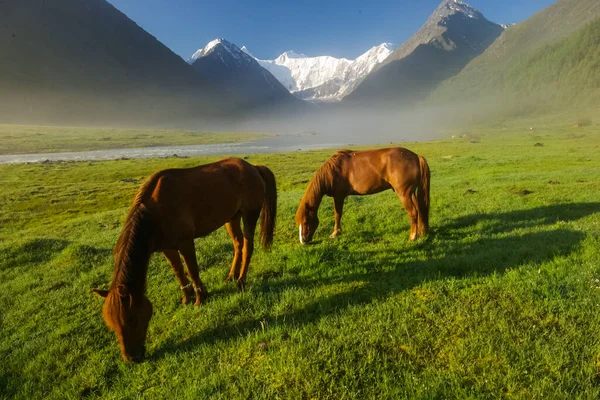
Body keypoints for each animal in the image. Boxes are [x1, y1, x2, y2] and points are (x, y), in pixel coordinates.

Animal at [91, 159, 276, 362]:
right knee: (238, 244)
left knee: (247, 246)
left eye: (131, 319)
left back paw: (241, 281)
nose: (132, 358)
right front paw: (187, 297)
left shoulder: (186, 242)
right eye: (111, 323)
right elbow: (179, 271)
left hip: (249, 214)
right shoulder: (167, 248)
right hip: (232, 217)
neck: (155, 211)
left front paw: (200, 298)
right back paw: (231, 276)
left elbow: (192, 270)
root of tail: (253, 167)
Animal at [296, 148, 428, 244]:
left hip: (404, 194)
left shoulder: (338, 196)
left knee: (413, 213)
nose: (303, 241)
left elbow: (337, 215)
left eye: (306, 221)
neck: (333, 171)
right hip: (411, 194)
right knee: (419, 210)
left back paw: (412, 238)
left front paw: (335, 233)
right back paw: (421, 233)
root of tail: (416, 157)